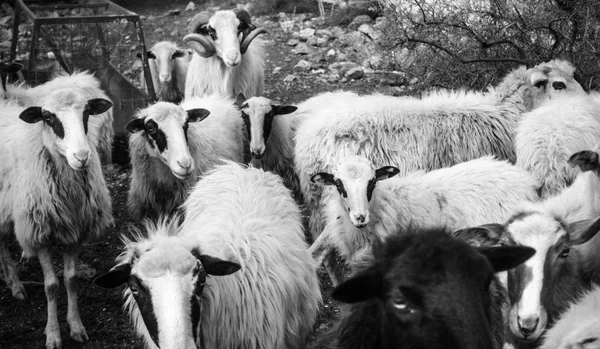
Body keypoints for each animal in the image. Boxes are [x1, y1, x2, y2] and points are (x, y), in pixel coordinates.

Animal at [0, 90, 113, 348]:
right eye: (49, 118)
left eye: (87, 113)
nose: (82, 156)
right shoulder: (39, 234)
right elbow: (51, 286)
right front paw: (52, 334)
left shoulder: (75, 233)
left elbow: (70, 280)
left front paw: (76, 327)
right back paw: (16, 285)